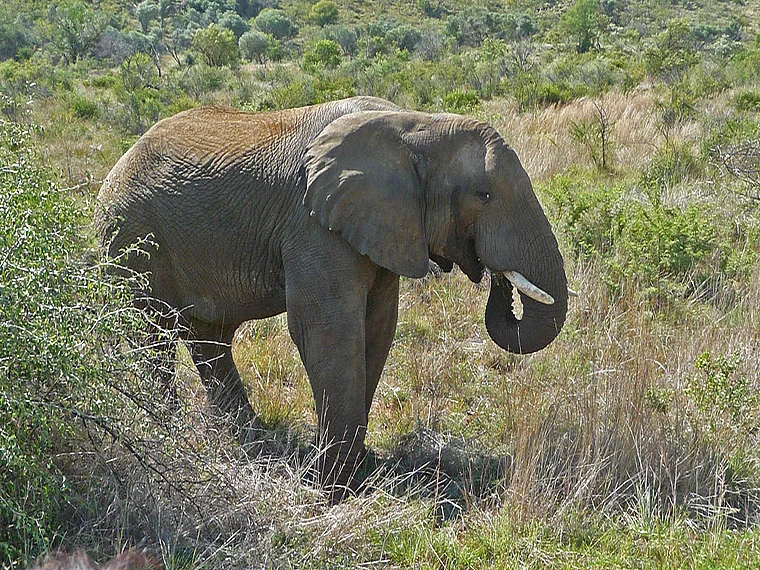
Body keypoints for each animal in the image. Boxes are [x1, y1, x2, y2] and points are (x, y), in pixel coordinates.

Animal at [95, 96, 568, 497]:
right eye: (483, 195)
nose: (497, 277)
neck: (417, 124)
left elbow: (378, 327)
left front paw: (358, 468)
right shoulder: (313, 225)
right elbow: (327, 330)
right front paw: (335, 487)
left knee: (210, 338)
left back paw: (254, 441)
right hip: (130, 239)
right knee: (153, 338)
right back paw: (169, 435)